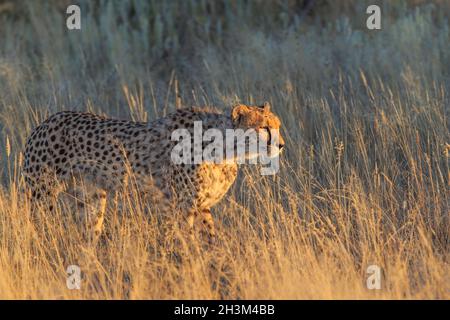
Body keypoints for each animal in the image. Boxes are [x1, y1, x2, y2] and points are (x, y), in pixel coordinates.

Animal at [22, 102, 284, 242]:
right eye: (264, 128)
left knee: (90, 232)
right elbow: (185, 239)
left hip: (91, 198)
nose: (281, 145)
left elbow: (210, 236)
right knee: (34, 226)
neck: (226, 148)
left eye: (278, 126)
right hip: (43, 194)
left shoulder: (200, 205)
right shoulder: (182, 204)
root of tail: (45, 122)